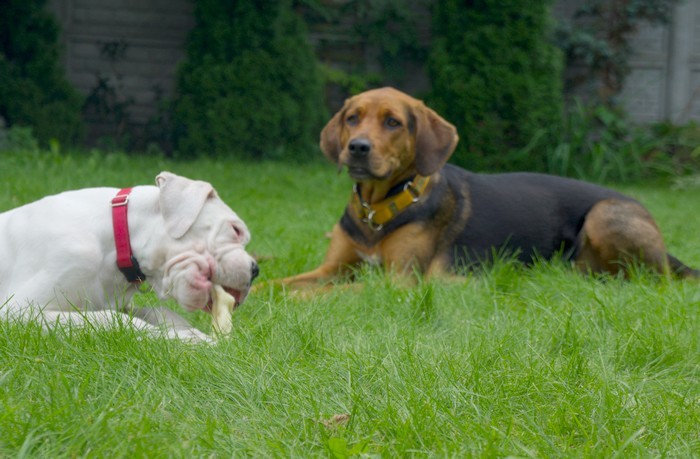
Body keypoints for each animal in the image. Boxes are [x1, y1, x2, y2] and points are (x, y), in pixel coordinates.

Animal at [0, 171, 260, 344]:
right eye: (236, 230)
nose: (256, 270)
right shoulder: (18, 311)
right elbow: (111, 320)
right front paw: (183, 338)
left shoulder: (118, 301)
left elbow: (156, 311)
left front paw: (188, 330)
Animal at [282, 87, 696, 286]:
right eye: (352, 118)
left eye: (393, 122)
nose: (357, 148)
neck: (377, 212)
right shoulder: (331, 268)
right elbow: (284, 283)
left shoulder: (398, 282)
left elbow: (332, 295)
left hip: (606, 214)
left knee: (653, 281)